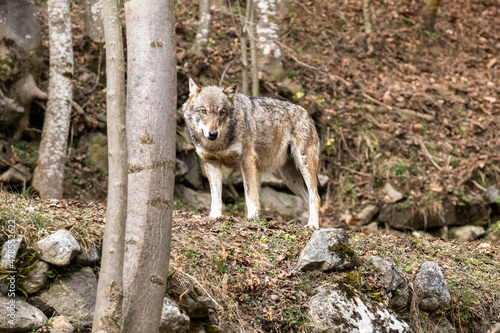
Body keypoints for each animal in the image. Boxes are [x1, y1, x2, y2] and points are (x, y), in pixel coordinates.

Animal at [183, 77, 320, 228]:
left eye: (222, 112)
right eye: (203, 111)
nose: (213, 134)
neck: (218, 144)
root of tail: (307, 114)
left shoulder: (247, 160)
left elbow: (250, 195)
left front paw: (252, 219)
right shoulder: (212, 163)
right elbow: (216, 196)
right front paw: (214, 216)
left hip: (304, 165)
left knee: (315, 196)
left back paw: (313, 225)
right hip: (290, 179)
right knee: (308, 198)